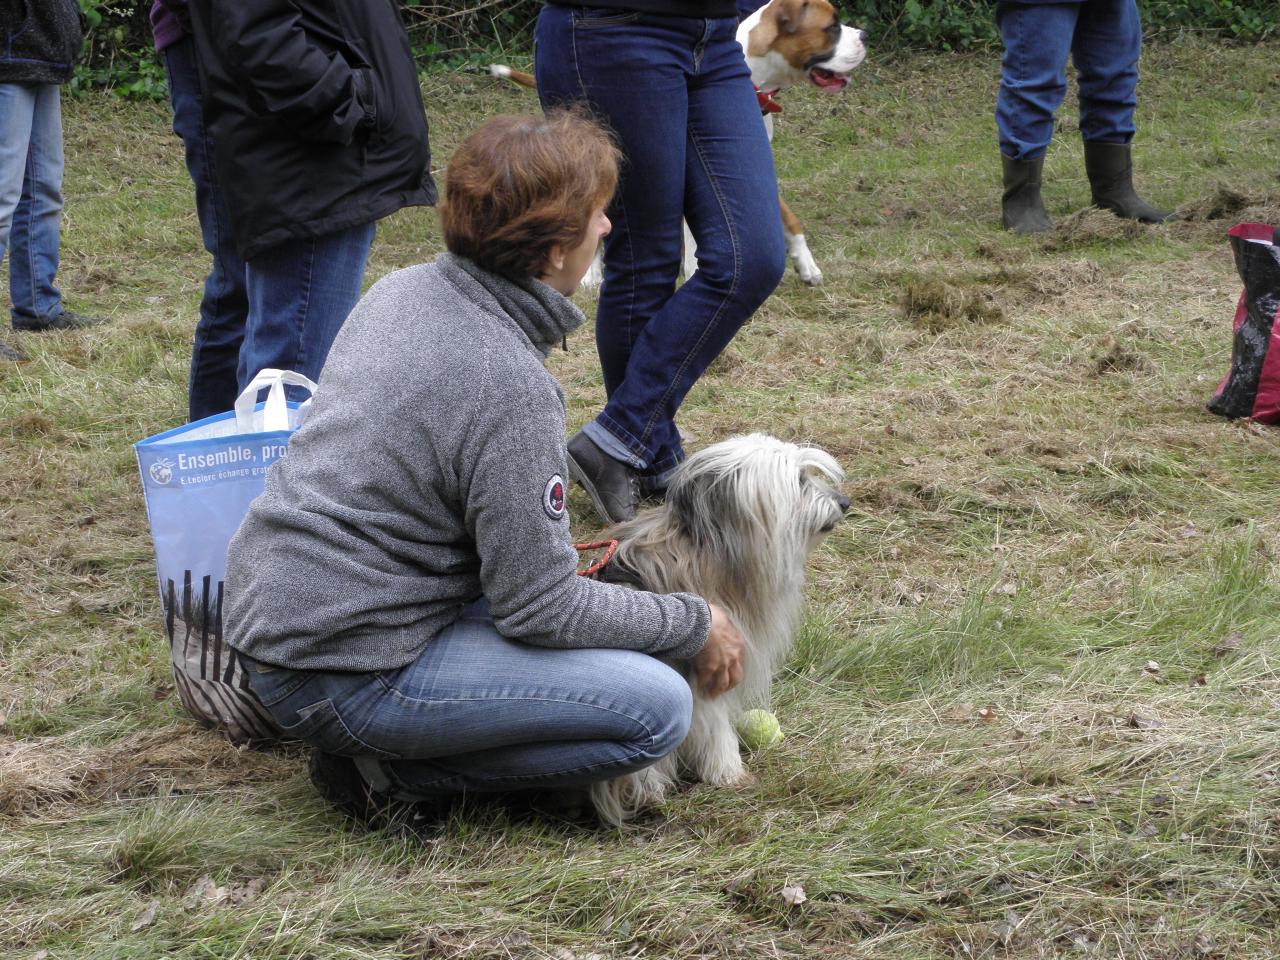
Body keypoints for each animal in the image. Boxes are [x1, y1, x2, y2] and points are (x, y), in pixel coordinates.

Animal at [488, 0, 870, 288]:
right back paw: (591, 273)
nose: (865, 35)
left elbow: (788, 218)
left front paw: (806, 265)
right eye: (832, 27)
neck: (754, 73)